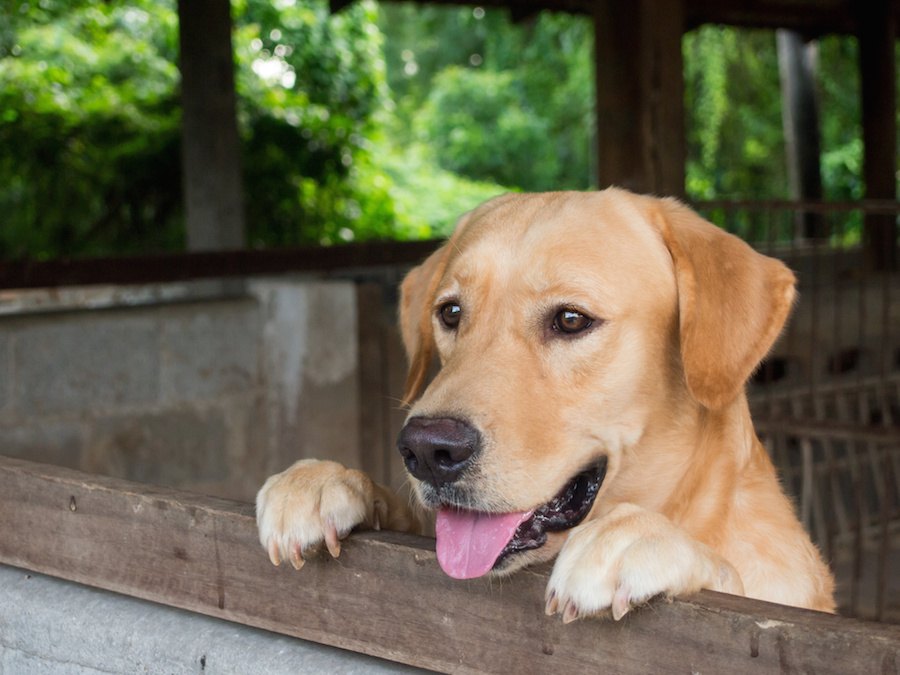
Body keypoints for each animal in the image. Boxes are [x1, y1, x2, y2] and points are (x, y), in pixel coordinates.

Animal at [255, 189, 836, 624]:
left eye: (572, 320)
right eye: (451, 313)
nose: (425, 449)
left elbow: (731, 577)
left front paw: (642, 537)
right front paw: (327, 481)